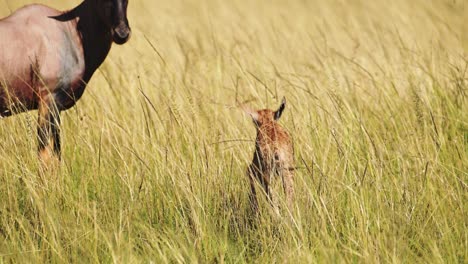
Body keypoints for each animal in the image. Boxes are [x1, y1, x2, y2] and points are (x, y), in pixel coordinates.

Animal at [0, 0, 131, 164]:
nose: (122, 33)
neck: (70, 30)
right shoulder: (48, 100)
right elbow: (45, 155)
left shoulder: (57, 108)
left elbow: (57, 153)